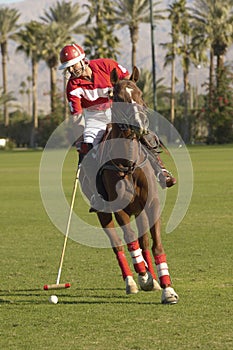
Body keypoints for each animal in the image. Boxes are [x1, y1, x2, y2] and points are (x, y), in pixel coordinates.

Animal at [79, 67, 178, 304]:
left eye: (140, 93)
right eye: (118, 97)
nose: (140, 125)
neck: (128, 163)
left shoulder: (151, 204)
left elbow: (155, 244)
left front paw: (167, 289)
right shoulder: (119, 208)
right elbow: (129, 240)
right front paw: (143, 277)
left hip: (139, 209)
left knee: (143, 241)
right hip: (103, 212)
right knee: (118, 244)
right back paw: (133, 281)